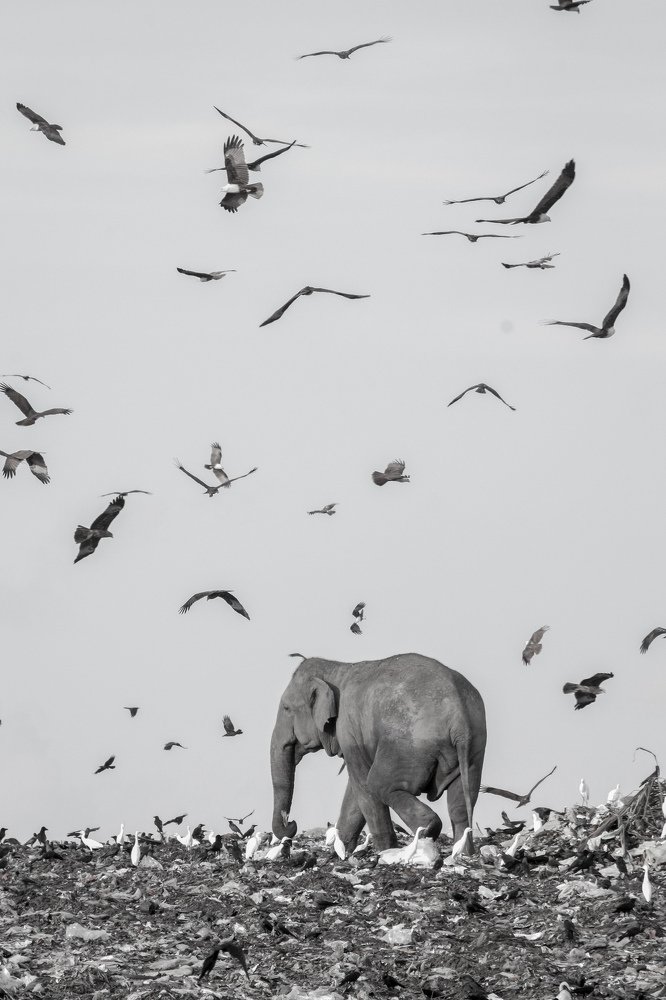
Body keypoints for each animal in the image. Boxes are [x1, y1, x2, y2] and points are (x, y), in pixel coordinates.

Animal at [270, 653, 487, 853]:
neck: (338, 668)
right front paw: (340, 853)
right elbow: (354, 792)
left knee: (379, 784)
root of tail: (459, 718)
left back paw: (422, 836)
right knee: (460, 803)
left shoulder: (349, 732)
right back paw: (463, 853)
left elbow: (362, 787)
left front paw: (384, 851)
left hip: (406, 747)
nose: (291, 823)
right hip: (473, 750)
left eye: (286, 708)